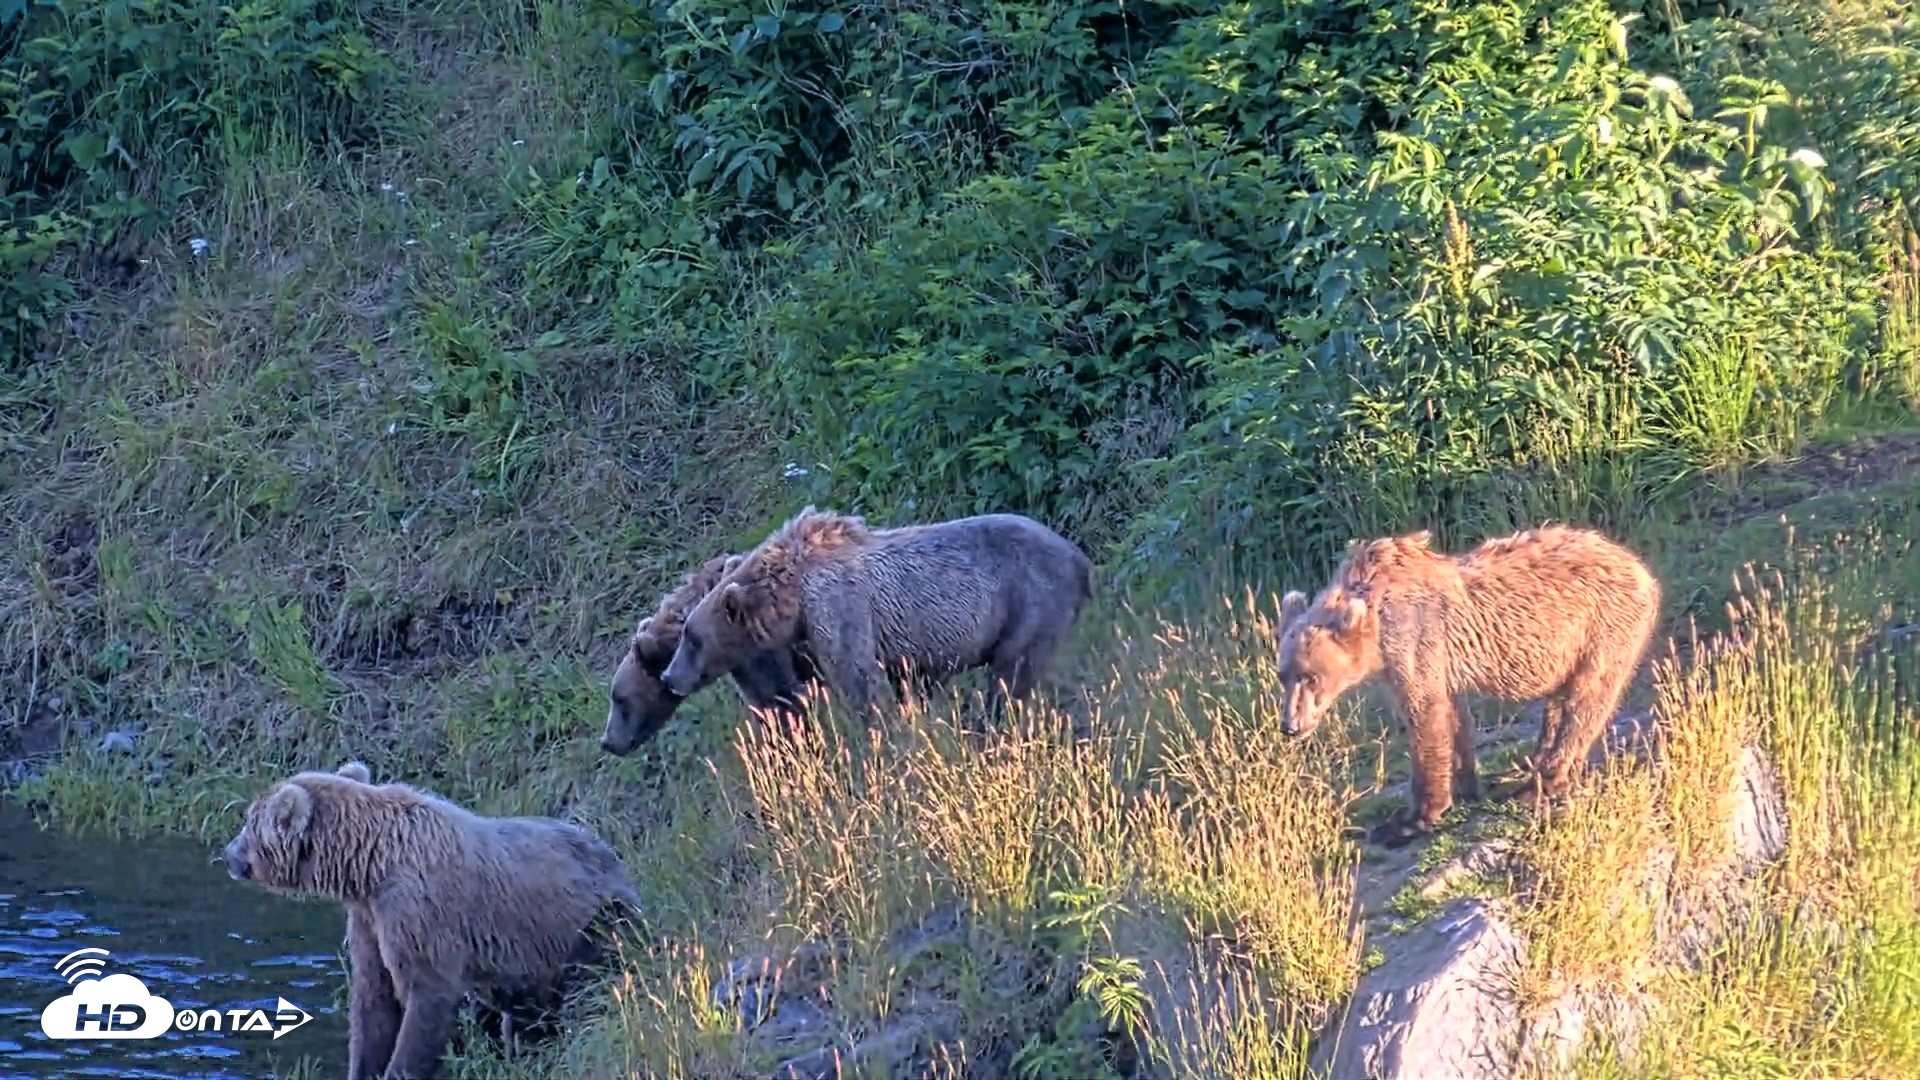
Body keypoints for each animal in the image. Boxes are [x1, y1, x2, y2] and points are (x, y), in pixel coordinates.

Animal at [221, 761, 642, 1080]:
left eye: (249, 822)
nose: (227, 855)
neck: (368, 863)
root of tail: (617, 863)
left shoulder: (419, 909)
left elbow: (426, 996)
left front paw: (401, 1068)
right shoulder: (370, 918)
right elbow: (373, 1001)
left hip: (592, 924)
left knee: (586, 994)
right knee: (531, 1021)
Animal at [660, 506, 1097, 719]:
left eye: (691, 637)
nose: (669, 676)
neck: (791, 596)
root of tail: (1080, 557)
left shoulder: (837, 605)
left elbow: (859, 678)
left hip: (1030, 599)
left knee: (1011, 674)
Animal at [1274, 524, 1661, 848]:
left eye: (1311, 676)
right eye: (1283, 675)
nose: (1291, 726)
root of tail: (1641, 568)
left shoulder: (1414, 638)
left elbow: (1425, 714)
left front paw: (1411, 819)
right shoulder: (1432, 660)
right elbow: (1454, 714)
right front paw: (1466, 785)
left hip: (1602, 628)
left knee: (1586, 699)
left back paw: (1542, 782)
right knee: (1560, 699)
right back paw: (1534, 759)